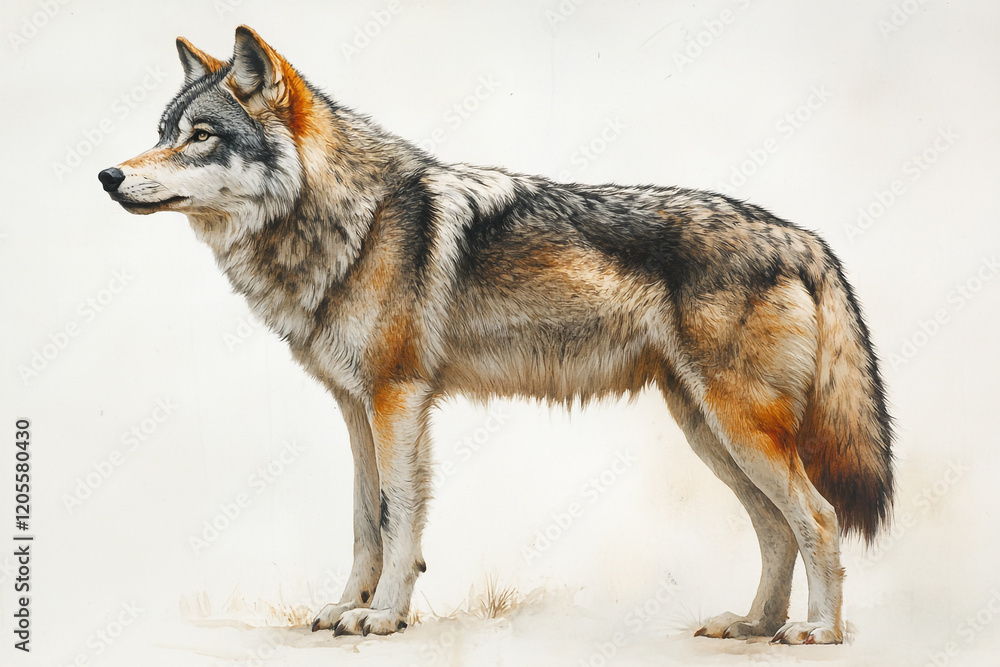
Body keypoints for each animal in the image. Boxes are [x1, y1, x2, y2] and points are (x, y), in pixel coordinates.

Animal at [99, 26, 893, 644]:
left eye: (200, 136)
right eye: (162, 133)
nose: (108, 175)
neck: (350, 222)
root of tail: (805, 238)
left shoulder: (397, 401)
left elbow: (399, 518)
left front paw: (383, 617)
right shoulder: (357, 409)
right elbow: (364, 522)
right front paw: (345, 608)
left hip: (740, 429)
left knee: (818, 519)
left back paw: (817, 632)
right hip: (711, 432)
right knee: (777, 527)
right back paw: (755, 625)